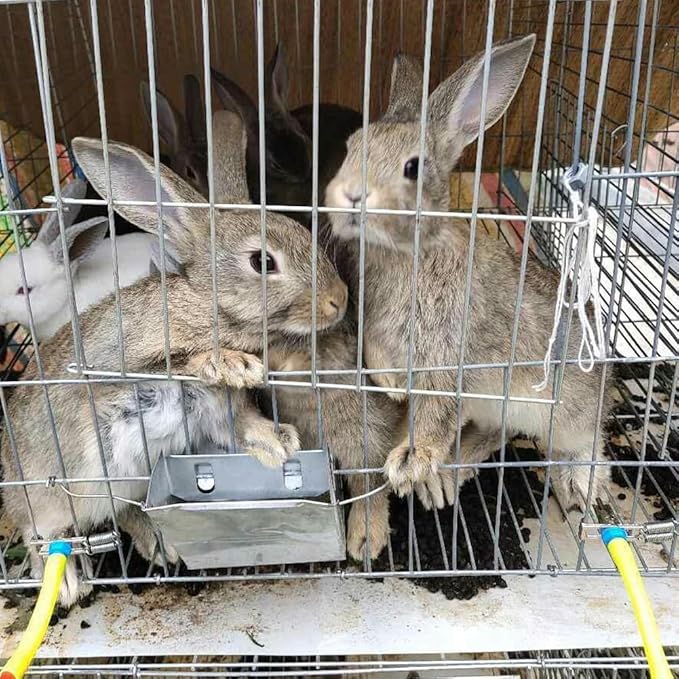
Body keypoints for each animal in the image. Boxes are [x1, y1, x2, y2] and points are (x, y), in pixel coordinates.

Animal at [326, 35, 612, 513]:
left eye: (413, 168)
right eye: (351, 148)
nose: (349, 194)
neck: (406, 251)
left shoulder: (447, 358)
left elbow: (435, 414)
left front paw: (411, 463)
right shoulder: (375, 325)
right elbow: (378, 357)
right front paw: (393, 386)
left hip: (567, 410)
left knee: (584, 440)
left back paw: (582, 485)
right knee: (496, 431)